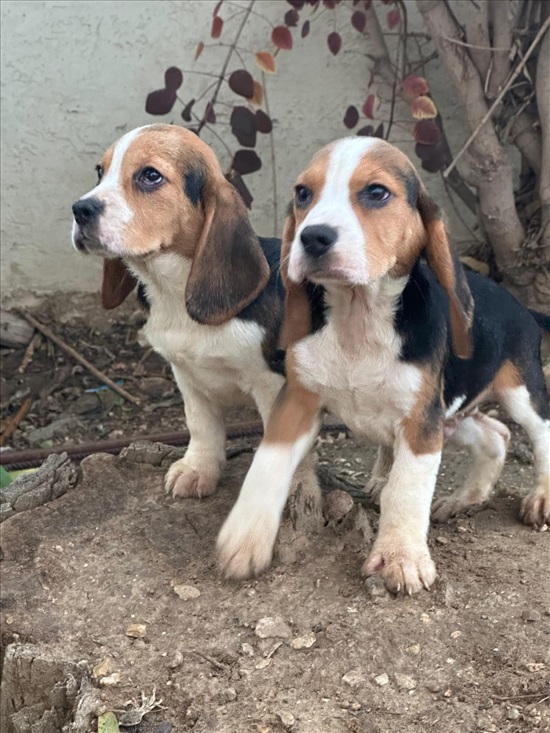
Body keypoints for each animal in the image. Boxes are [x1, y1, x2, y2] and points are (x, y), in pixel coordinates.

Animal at [70, 123, 320, 508]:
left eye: (150, 176)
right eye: (100, 171)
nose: (80, 209)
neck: (174, 291)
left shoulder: (272, 383)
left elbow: (283, 446)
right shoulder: (187, 377)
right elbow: (202, 427)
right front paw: (198, 469)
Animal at [219, 136, 550, 596]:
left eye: (376, 192)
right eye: (302, 193)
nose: (312, 237)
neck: (358, 319)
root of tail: (525, 309)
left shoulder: (420, 425)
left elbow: (405, 491)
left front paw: (401, 556)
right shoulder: (298, 401)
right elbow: (267, 464)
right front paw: (245, 536)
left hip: (519, 393)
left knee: (540, 435)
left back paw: (540, 497)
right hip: (451, 413)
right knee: (496, 435)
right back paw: (465, 498)